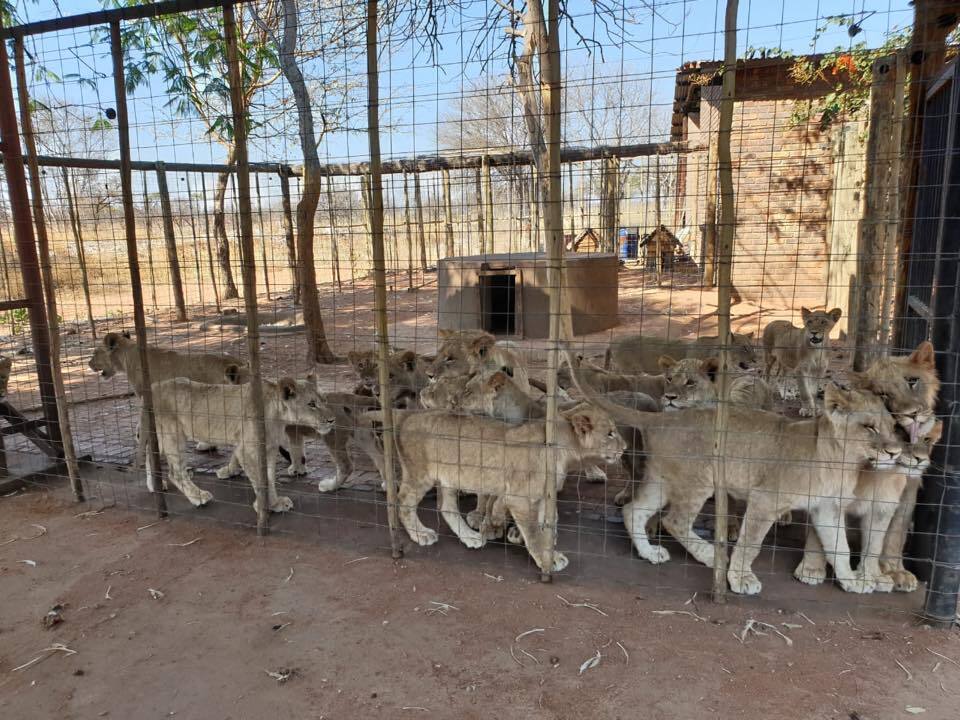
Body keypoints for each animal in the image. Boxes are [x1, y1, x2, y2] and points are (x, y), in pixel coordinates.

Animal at [152, 376, 336, 512]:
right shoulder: (246, 449)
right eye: (311, 404)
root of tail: (153, 387)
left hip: (159, 438)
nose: (332, 420)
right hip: (173, 436)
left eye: (325, 400)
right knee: (175, 472)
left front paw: (274, 503)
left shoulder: (269, 449)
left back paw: (156, 485)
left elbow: (269, 477)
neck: (277, 415)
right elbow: (260, 479)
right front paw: (266, 506)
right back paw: (198, 496)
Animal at [394, 402, 628, 572]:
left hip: (450, 478)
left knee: (446, 507)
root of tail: (408, 415)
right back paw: (421, 534)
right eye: (610, 433)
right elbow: (533, 533)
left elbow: (546, 524)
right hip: (419, 475)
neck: (564, 450)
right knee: (403, 502)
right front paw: (548, 560)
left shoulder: (543, 496)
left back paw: (469, 536)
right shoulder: (520, 498)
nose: (626, 447)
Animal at [572, 368, 904, 592]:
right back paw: (711, 555)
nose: (895, 451)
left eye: (893, 427)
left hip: (662, 479)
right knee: (674, 520)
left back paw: (650, 553)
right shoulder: (765, 500)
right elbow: (750, 543)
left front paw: (852, 581)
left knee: (634, 511)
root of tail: (663, 418)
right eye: (870, 427)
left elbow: (840, 547)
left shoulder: (827, 508)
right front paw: (741, 578)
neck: (841, 460)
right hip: (699, 478)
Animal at [796, 416, 944, 592]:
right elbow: (819, 535)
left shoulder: (884, 506)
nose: (920, 459)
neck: (875, 474)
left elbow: (878, 543)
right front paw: (811, 569)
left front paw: (875, 576)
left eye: (926, 439)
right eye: (900, 433)